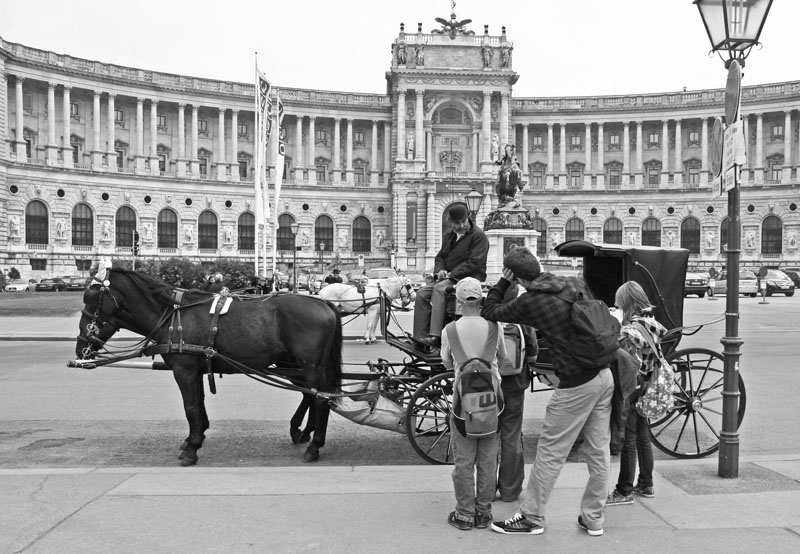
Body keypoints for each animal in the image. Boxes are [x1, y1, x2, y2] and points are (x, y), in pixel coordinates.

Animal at [76, 266, 346, 464]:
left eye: (90, 300)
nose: (80, 349)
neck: (172, 314)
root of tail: (323, 302)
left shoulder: (184, 371)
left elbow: (190, 407)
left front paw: (192, 449)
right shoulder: (195, 371)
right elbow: (199, 405)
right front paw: (195, 437)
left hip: (310, 366)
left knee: (321, 399)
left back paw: (313, 446)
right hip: (293, 363)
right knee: (310, 394)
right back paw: (302, 432)